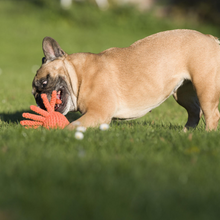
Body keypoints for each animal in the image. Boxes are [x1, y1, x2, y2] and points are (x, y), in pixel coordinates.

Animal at [31, 29, 220, 131]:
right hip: (182, 93)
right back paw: (186, 133)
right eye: (34, 94)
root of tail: (210, 38)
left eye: (45, 83)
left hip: (205, 88)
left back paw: (206, 135)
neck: (79, 75)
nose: (40, 99)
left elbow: (72, 125)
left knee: (211, 114)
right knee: (195, 111)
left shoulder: (98, 113)